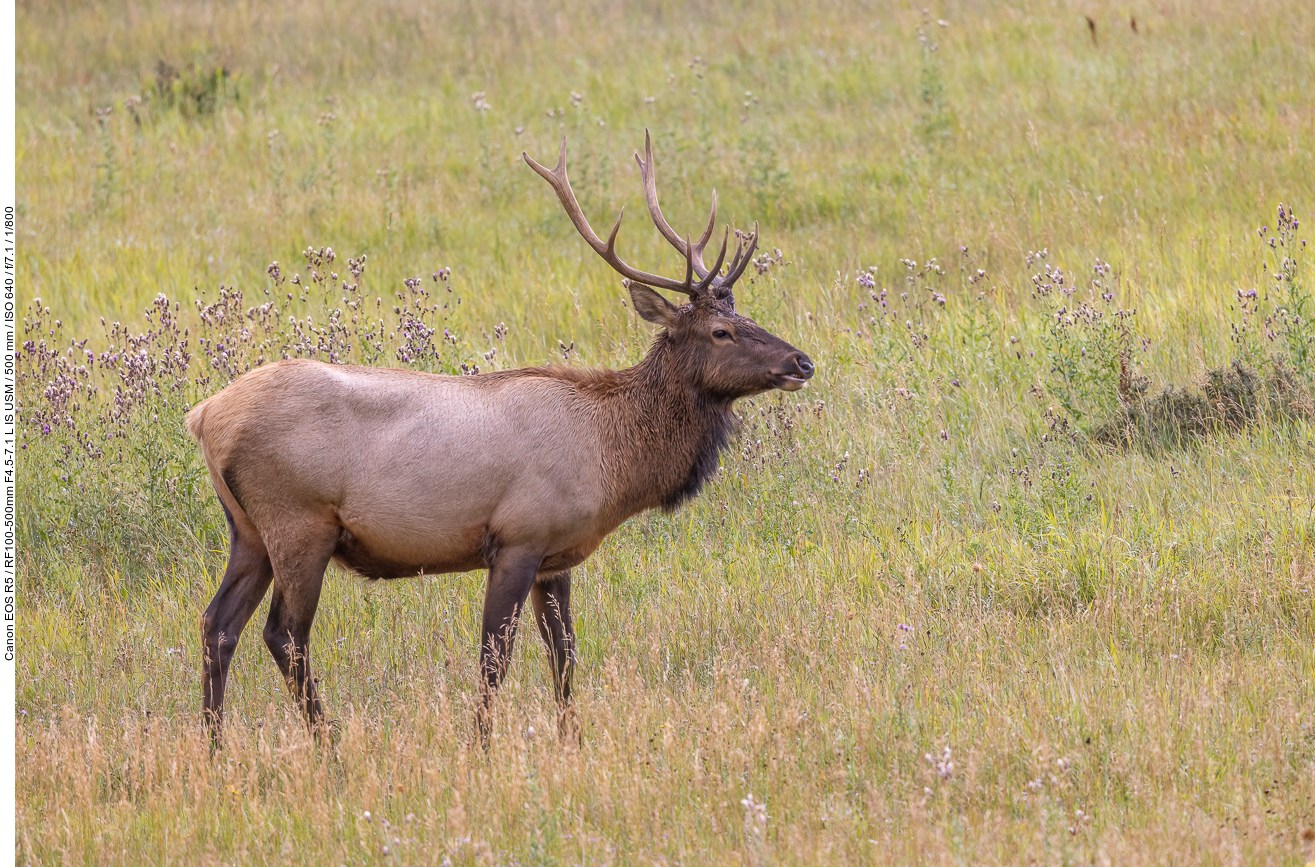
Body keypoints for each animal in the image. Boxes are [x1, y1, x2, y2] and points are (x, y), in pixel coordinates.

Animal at [188, 130, 810, 747]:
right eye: (721, 332)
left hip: (249, 530)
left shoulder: (558, 556)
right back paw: (328, 743)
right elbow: (495, 656)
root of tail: (204, 416)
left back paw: (215, 746)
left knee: (218, 623)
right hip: (299, 522)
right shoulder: (518, 538)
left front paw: (571, 739)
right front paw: (481, 745)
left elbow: (564, 653)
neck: (610, 462)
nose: (801, 362)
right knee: (284, 634)